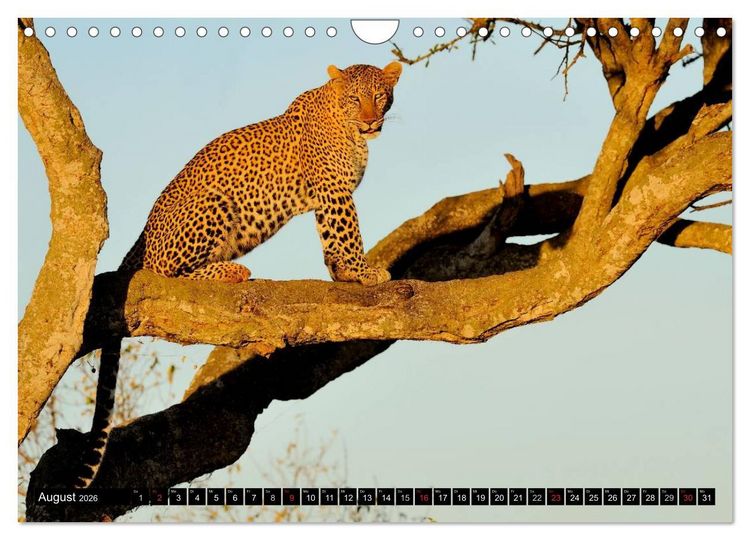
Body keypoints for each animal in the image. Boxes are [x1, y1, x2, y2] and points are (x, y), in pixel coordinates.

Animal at [73, 61, 403, 489]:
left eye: (379, 96)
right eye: (354, 99)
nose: (370, 121)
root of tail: (141, 239)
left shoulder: (327, 196)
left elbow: (331, 238)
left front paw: (343, 273)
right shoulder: (334, 191)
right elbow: (347, 232)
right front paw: (364, 272)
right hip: (211, 206)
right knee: (169, 276)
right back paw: (232, 270)